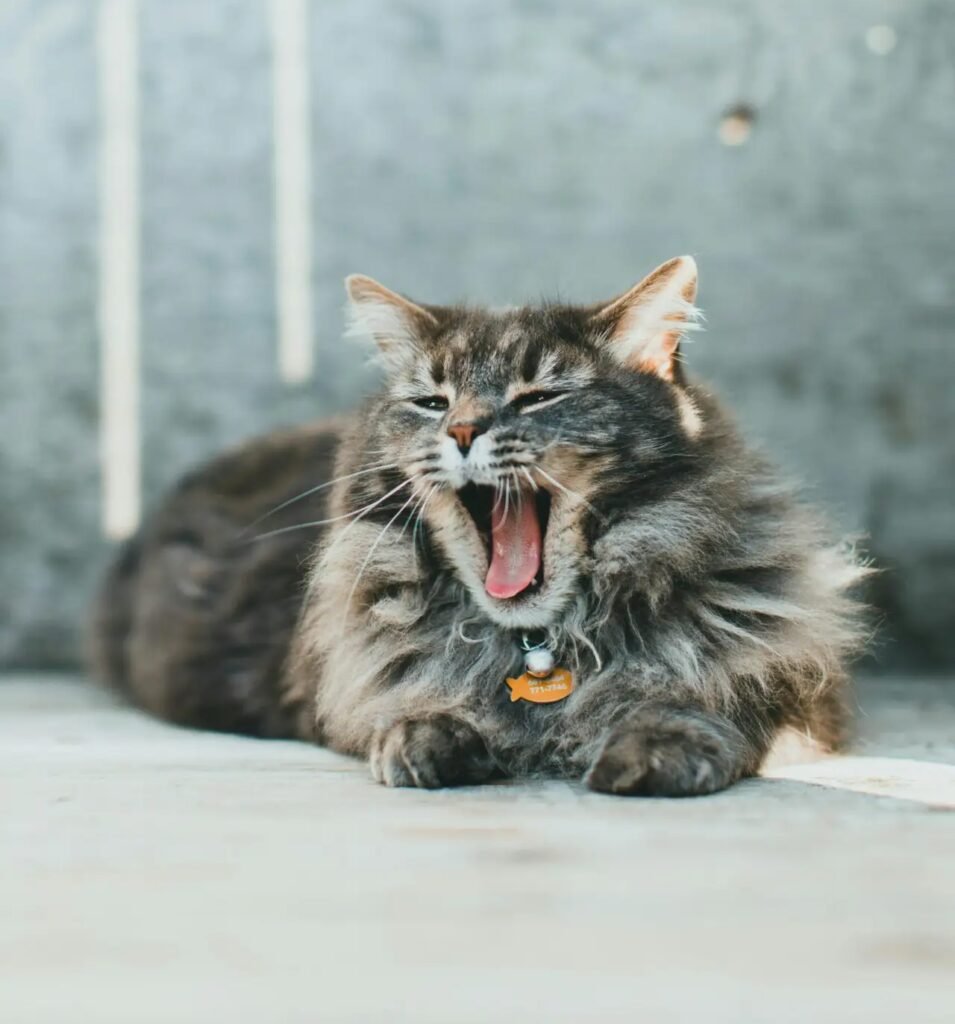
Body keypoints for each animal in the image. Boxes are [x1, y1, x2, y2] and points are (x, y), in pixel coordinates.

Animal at [91, 253, 872, 790]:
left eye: (538, 396)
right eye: (432, 402)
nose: (463, 430)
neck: (539, 644)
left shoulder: (800, 695)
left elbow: (705, 706)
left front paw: (655, 747)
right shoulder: (345, 691)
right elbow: (410, 710)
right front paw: (429, 739)